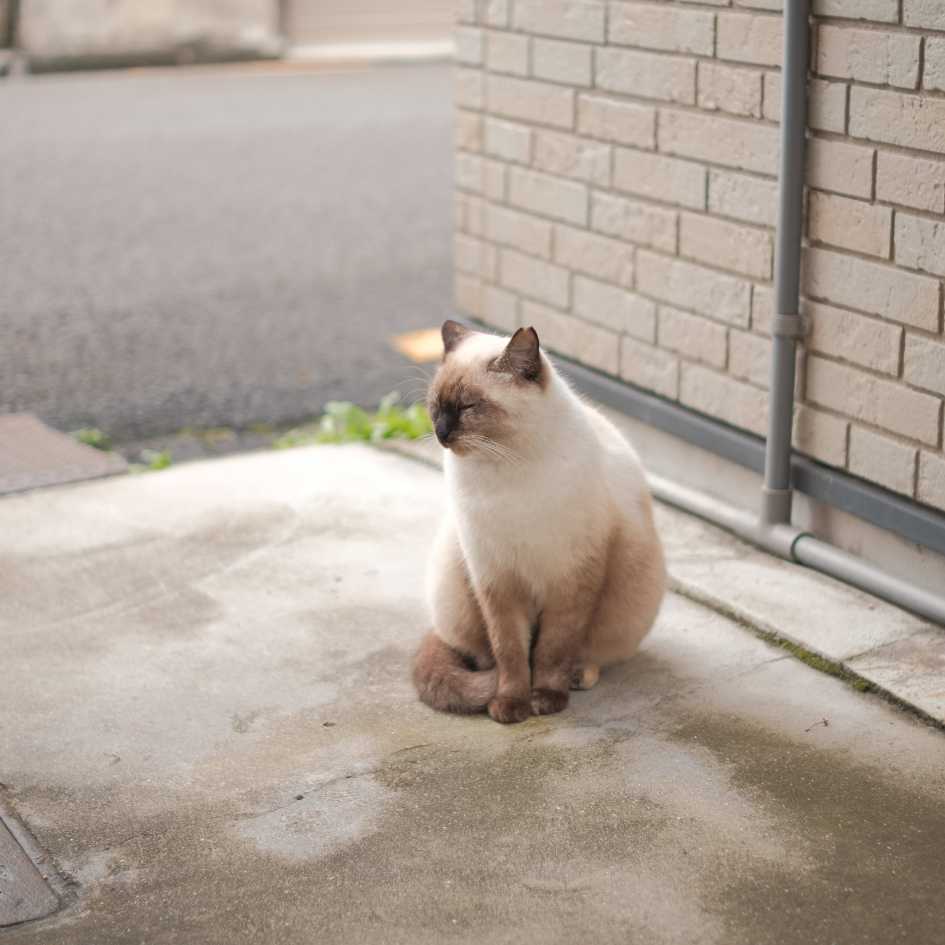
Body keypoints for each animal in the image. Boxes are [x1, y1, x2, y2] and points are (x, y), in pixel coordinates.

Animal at [412, 322, 664, 724]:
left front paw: (545, 699)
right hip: (453, 576)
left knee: (590, 654)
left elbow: (551, 650)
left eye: (468, 407)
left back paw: (578, 676)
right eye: (436, 406)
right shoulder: (496, 582)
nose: (441, 433)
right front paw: (511, 705)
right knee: (480, 654)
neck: (506, 467)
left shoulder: (571, 580)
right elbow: (511, 654)